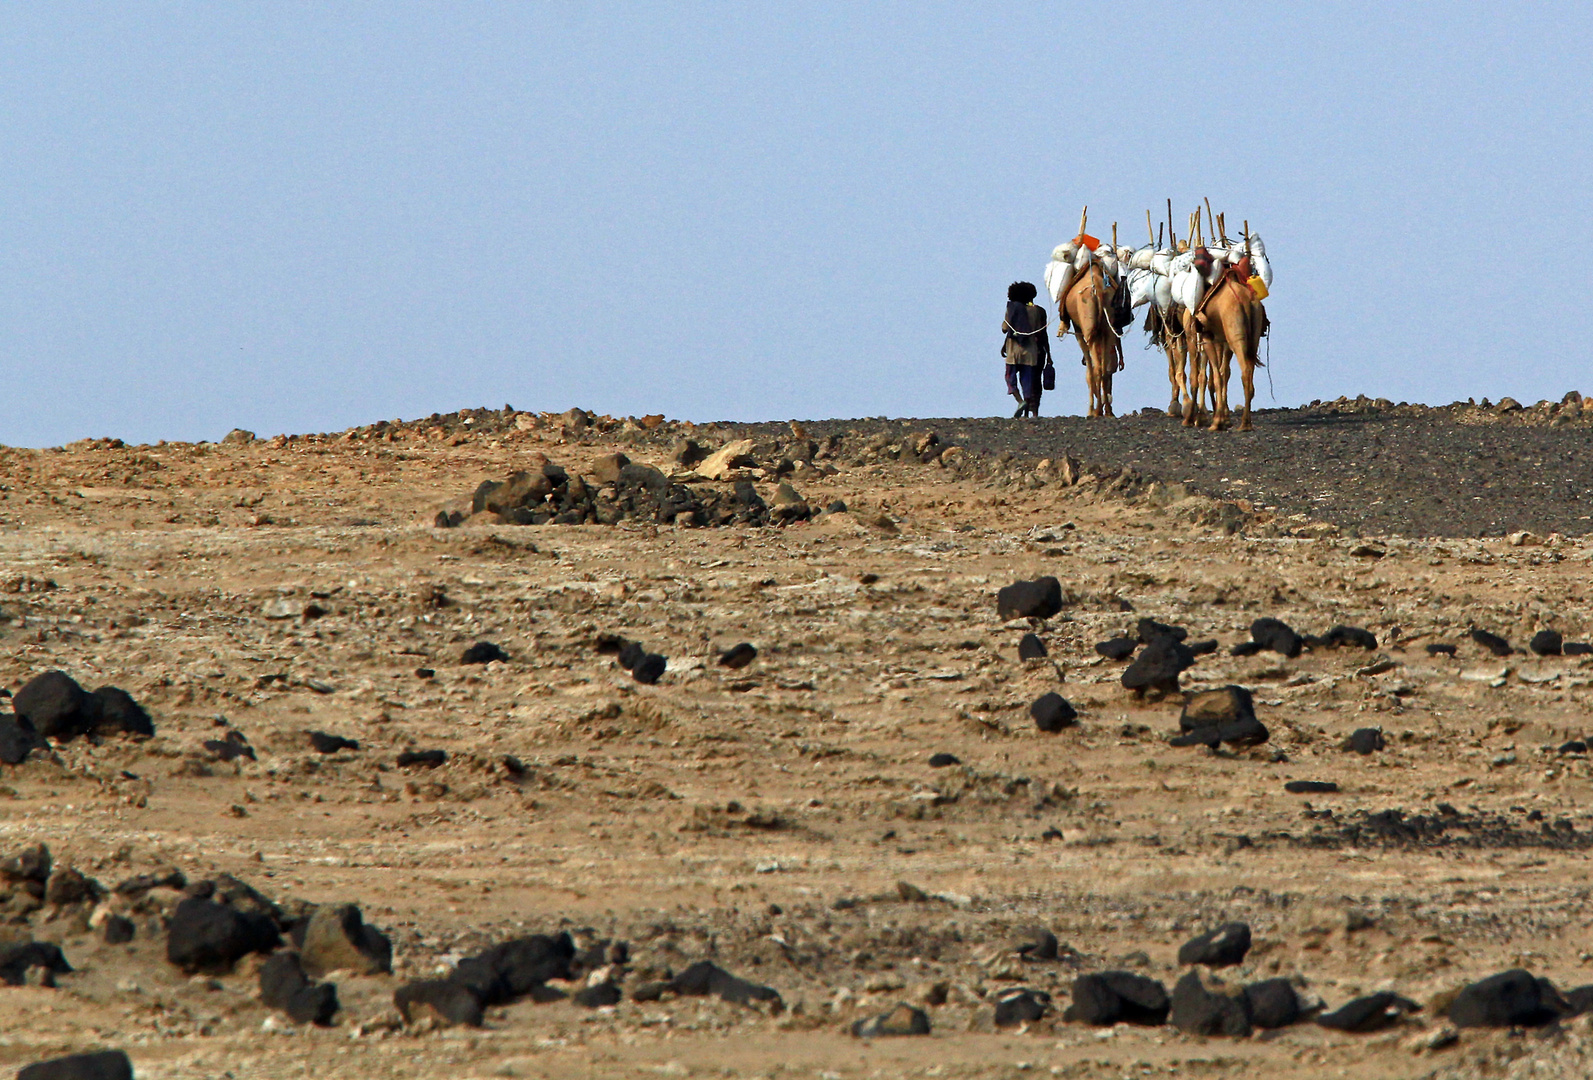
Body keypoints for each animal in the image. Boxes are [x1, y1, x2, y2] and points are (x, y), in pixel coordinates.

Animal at [1057, 262, 1121, 417]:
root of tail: (1098, 290)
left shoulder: (1079, 331)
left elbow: (1090, 370)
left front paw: (1090, 411)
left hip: (1088, 329)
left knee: (1096, 369)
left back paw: (1096, 411)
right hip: (1108, 327)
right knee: (1104, 370)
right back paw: (1107, 412)